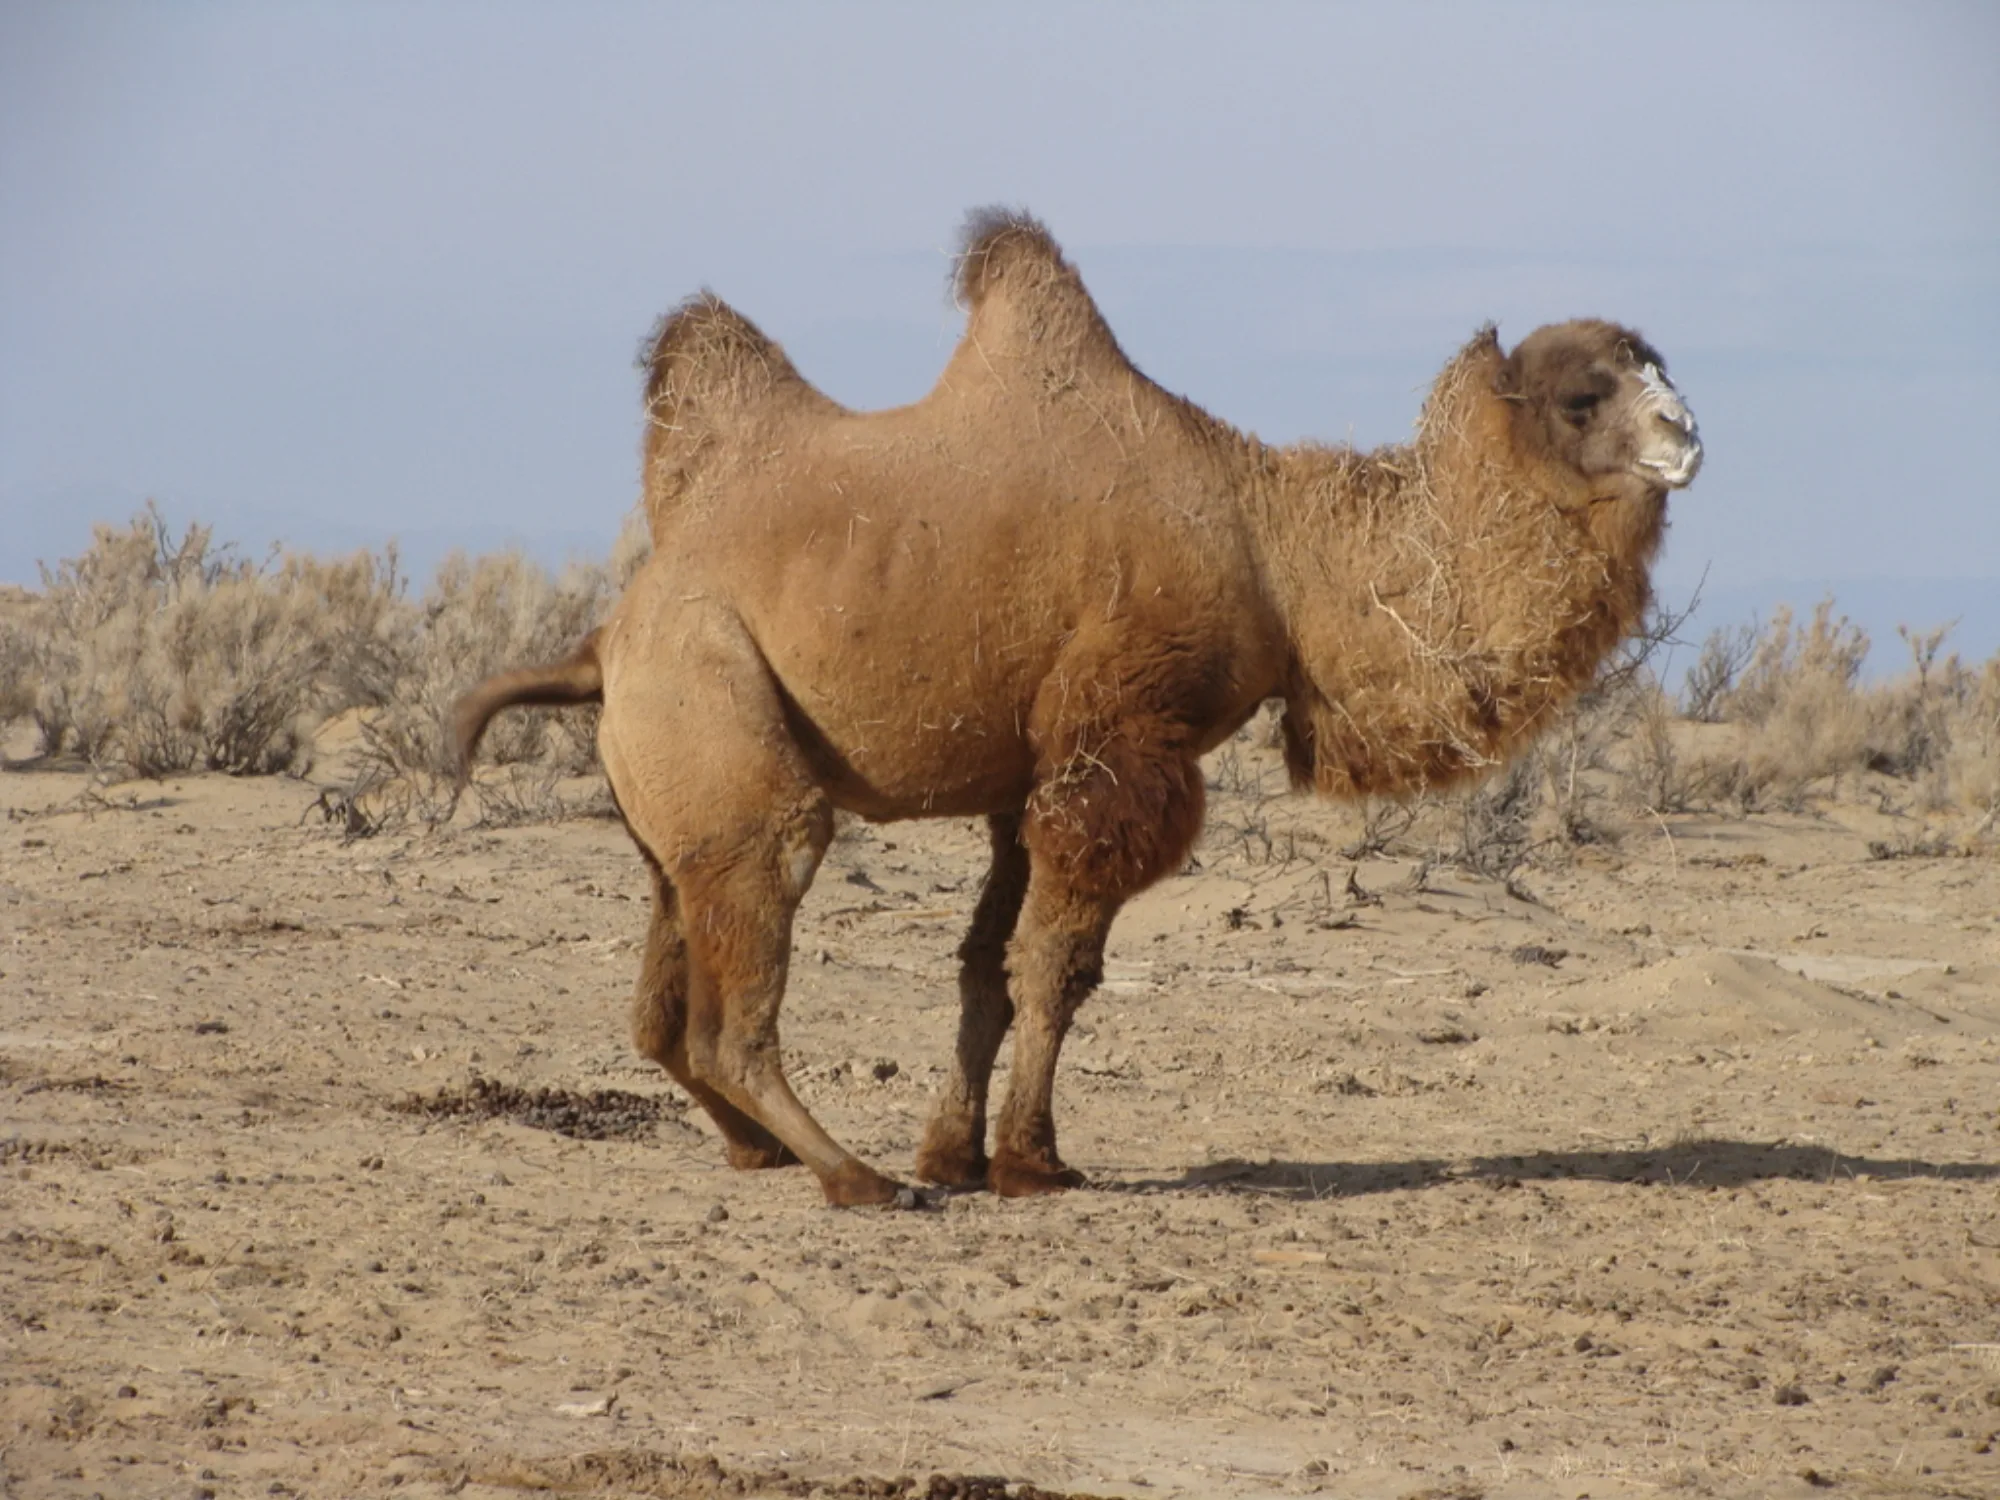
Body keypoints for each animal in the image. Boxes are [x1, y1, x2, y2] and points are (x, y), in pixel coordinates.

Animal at [454, 208, 1703, 1206]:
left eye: (1659, 373)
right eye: (1583, 396)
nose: (1686, 439)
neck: (1270, 548)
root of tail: (604, 640)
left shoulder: (1029, 773)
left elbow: (983, 968)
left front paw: (956, 1153)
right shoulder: (1119, 744)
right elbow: (1053, 969)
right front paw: (1027, 1164)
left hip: (671, 799)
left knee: (661, 1004)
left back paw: (769, 1151)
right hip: (719, 717)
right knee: (734, 1002)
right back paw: (853, 1179)